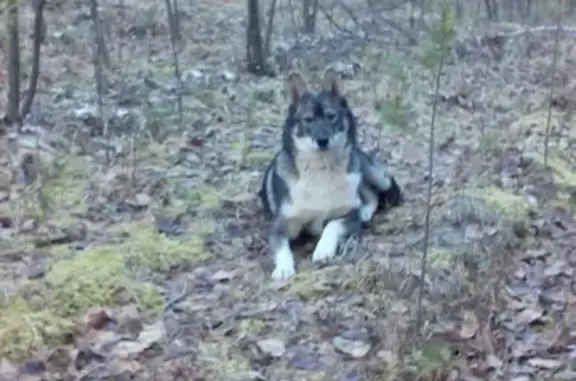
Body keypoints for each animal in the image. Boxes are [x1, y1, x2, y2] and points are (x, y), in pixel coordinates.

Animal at [258, 69, 402, 280]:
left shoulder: (348, 216)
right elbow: (282, 248)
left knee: (375, 193)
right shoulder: (281, 225)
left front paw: (323, 249)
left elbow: (331, 225)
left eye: (331, 116)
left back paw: (365, 211)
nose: (322, 140)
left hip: (372, 173)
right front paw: (284, 268)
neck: (322, 170)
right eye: (308, 119)